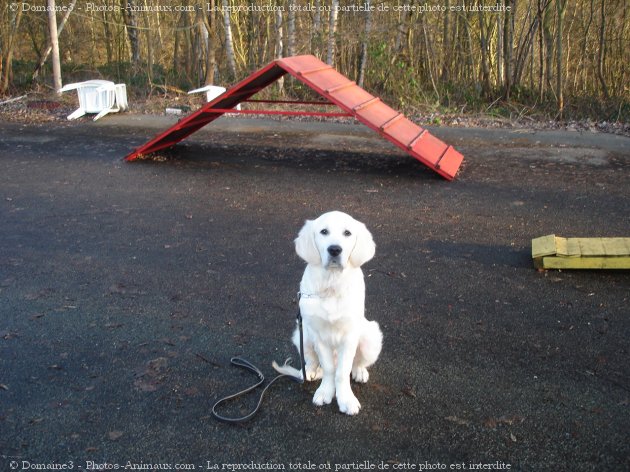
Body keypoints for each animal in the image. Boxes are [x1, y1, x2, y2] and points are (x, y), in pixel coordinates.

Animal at [274, 212, 382, 414]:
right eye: (324, 232)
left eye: (347, 233)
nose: (334, 250)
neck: (331, 284)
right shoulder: (318, 335)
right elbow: (330, 369)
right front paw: (325, 392)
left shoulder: (350, 335)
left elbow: (342, 371)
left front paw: (346, 399)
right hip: (302, 335)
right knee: (312, 360)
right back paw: (308, 372)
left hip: (371, 336)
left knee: (358, 362)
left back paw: (360, 371)